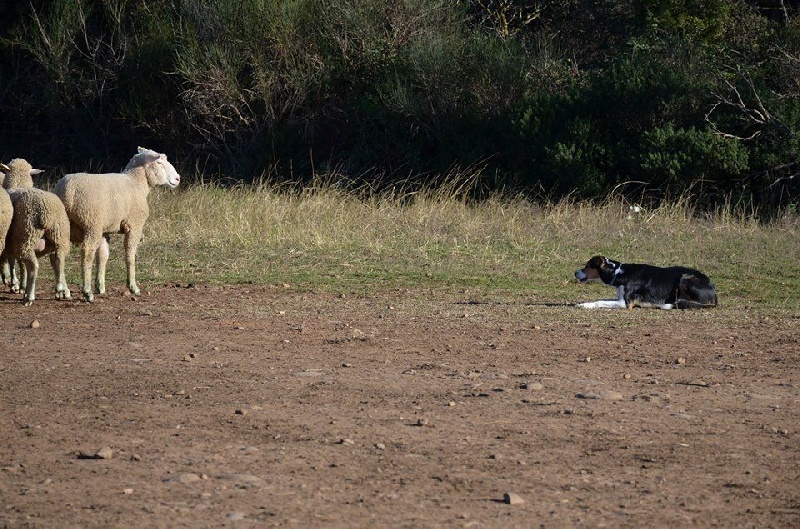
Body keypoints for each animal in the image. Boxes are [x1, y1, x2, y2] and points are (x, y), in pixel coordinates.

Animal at [54, 146, 181, 302]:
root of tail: (67, 191)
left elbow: (103, 256)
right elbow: (130, 253)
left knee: (59, 253)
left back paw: (63, 290)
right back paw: (87, 292)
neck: (137, 182)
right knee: (87, 253)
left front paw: (100, 286)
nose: (178, 178)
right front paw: (133, 287)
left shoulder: (104, 231)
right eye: (159, 163)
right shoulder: (134, 225)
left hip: (62, 226)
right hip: (91, 223)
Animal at [576, 256, 720, 310]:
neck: (618, 273)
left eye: (587, 266)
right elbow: (601, 299)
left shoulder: (625, 303)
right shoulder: (620, 298)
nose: (575, 273)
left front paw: (584, 305)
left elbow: (600, 301)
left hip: (686, 278)